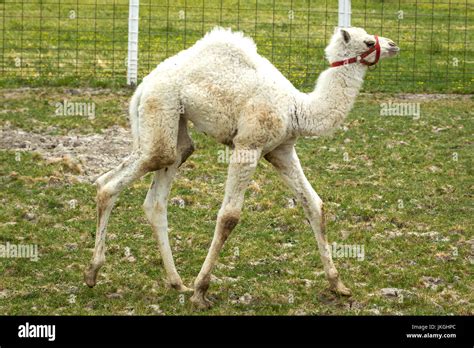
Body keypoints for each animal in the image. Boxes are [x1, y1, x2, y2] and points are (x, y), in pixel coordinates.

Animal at [83, 27, 398, 310]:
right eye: (368, 41)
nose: (393, 44)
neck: (297, 108)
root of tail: (142, 86)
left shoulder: (281, 150)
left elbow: (314, 204)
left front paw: (339, 285)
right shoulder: (248, 145)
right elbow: (229, 217)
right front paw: (201, 291)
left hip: (176, 133)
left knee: (155, 197)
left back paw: (176, 282)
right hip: (161, 110)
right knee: (111, 184)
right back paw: (93, 273)